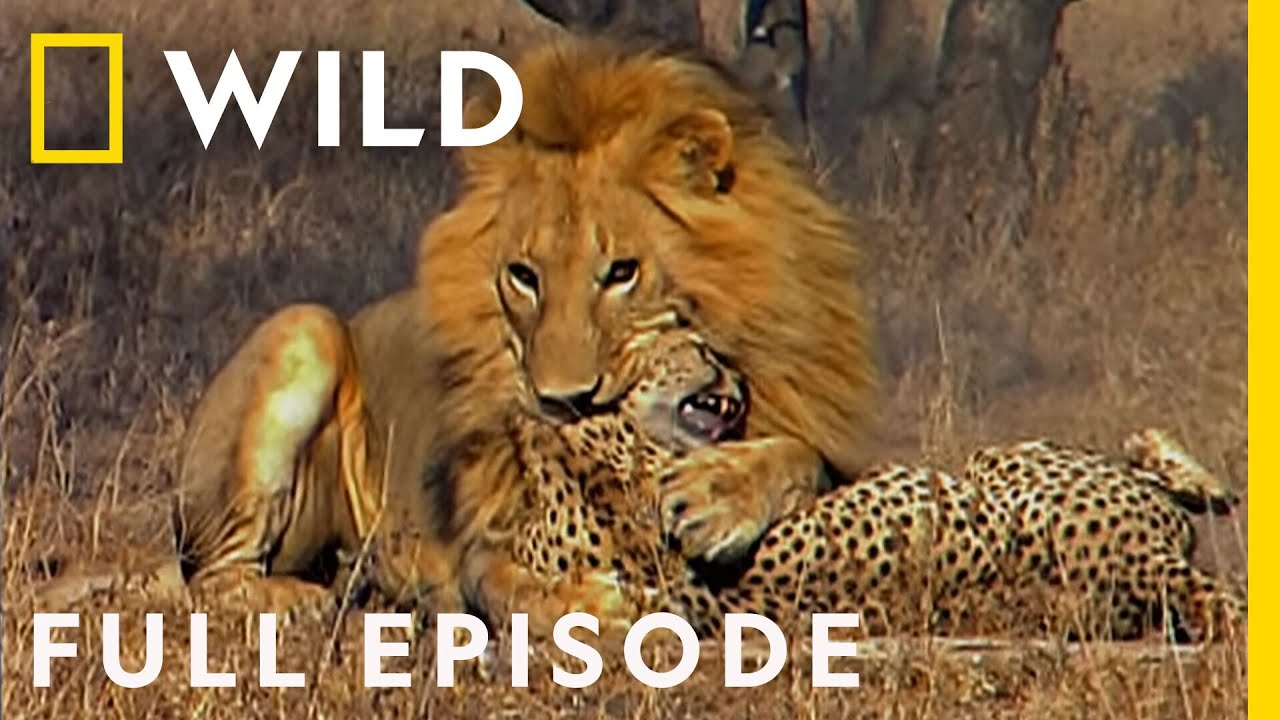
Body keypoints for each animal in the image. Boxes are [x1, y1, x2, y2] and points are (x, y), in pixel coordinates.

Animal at [32, 37, 877, 619]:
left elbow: (808, 457)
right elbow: (510, 584)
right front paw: (590, 603)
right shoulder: (483, 544)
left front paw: (720, 497)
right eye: (523, 276)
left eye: (622, 273)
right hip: (304, 330)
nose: (560, 401)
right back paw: (301, 600)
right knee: (213, 579)